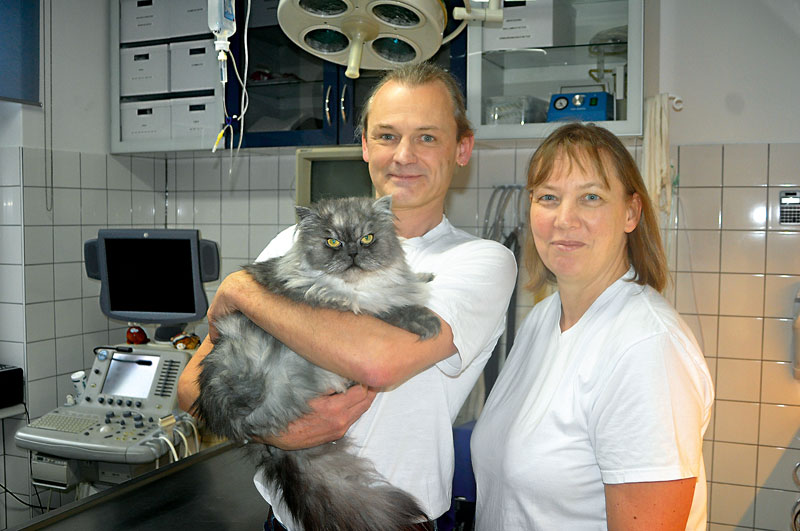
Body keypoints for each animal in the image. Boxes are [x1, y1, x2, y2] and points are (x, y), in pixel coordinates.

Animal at [195, 196, 444, 531]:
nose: (353, 253)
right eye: (332, 241)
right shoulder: (347, 309)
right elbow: (391, 311)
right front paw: (426, 319)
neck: (356, 286)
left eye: (367, 238)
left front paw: (423, 277)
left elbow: (403, 285)